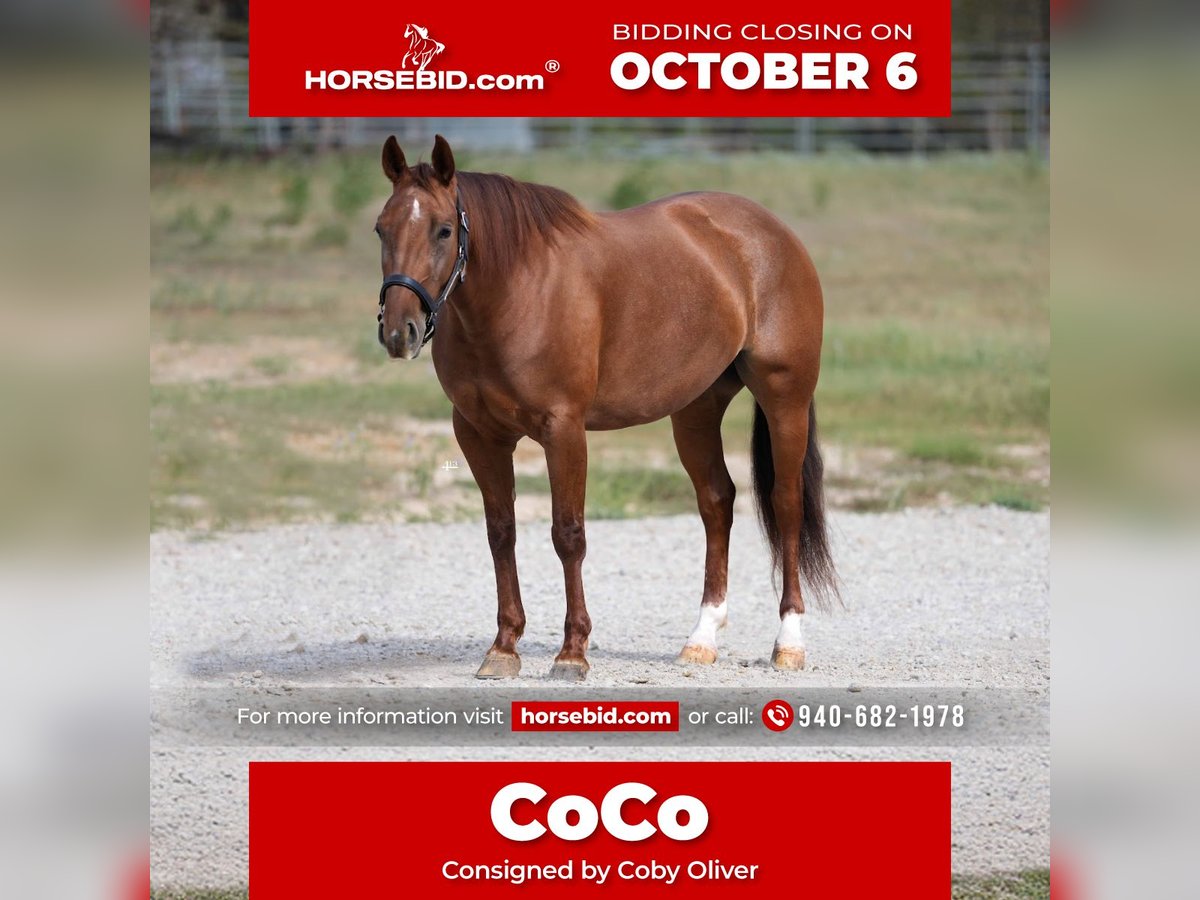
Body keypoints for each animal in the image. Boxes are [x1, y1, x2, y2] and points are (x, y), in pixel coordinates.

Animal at [374, 135, 838, 681]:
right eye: (381, 228)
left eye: (444, 230)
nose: (398, 332)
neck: (517, 291)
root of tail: (773, 232)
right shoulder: (478, 434)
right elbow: (501, 533)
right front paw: (504, 647)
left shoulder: (564, 430)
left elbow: (568, 534)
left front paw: (572, 652)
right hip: (696, 408)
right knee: (716, 501)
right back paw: (701, 638)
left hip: (785, 399)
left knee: (786, 505)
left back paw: (789, 642)